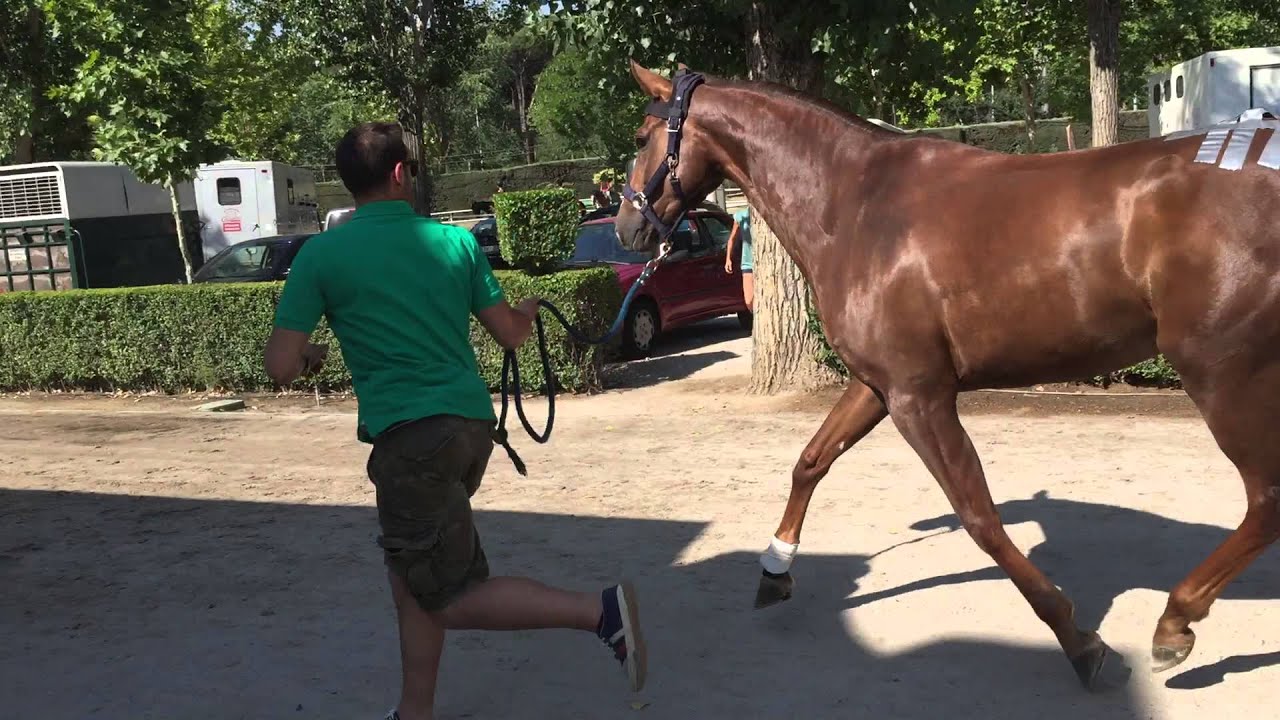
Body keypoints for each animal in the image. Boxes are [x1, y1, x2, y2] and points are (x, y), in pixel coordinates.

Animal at [613, 59, 1280, 691]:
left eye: (643, 135)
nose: (626, 227)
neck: (855, 206)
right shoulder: (878, 387)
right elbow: (811, 461)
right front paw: (775, 570)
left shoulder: (920, 398)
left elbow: (979, 516)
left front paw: (1077, 639)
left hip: (1222, 377)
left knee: (1267, 500)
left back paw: (1174, 622)